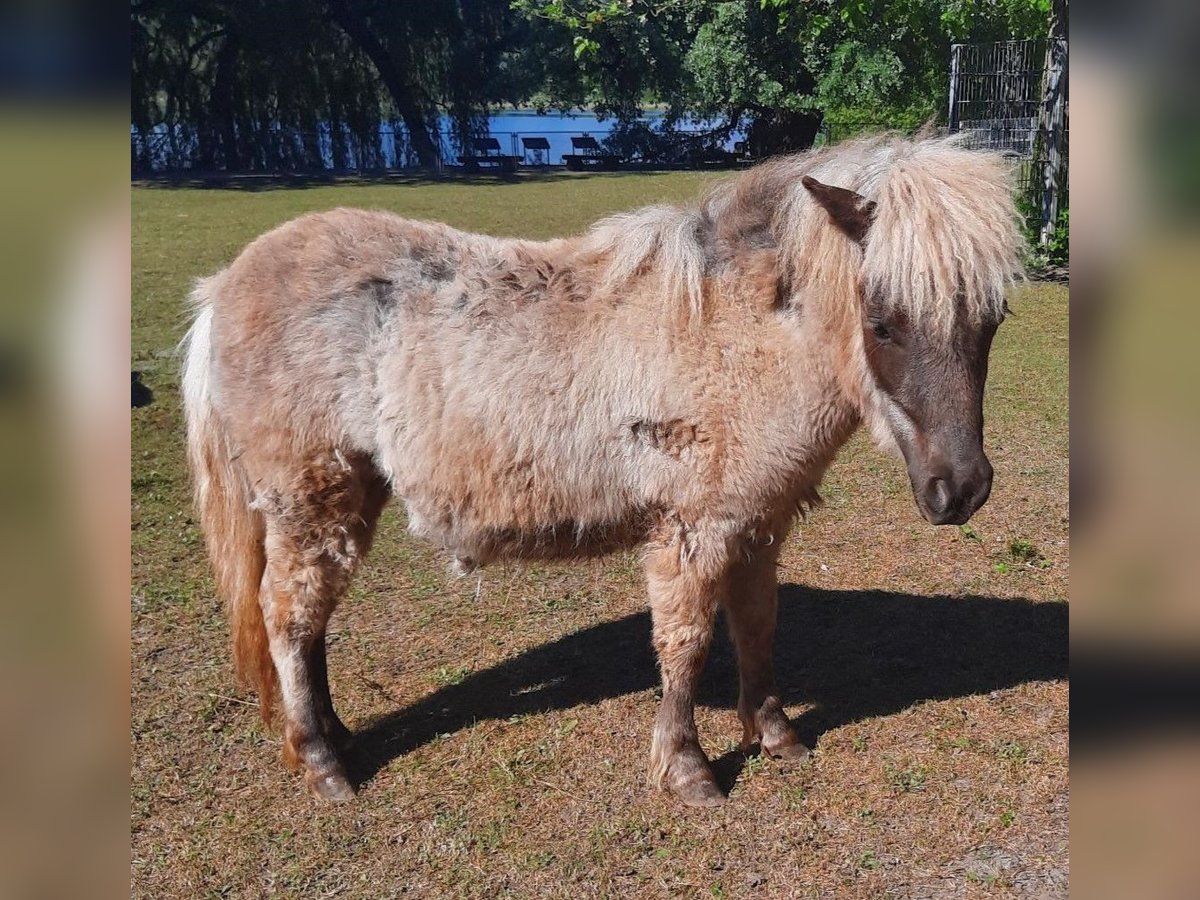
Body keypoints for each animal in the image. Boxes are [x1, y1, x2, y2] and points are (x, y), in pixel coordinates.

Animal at [184, 137, 1022, 806]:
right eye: (883, 323)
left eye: (992, 320)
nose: (960, 490)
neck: (731, 336)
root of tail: (223, 287)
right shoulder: (693, 530)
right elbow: (685, 644)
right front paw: (688, 771)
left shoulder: (756, 524)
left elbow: (757, 625)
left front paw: (775, 733)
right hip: (310, 501)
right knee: (288, 617)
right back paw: (323, 763)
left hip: (342, 501)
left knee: (308, 620)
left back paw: (334, 734)